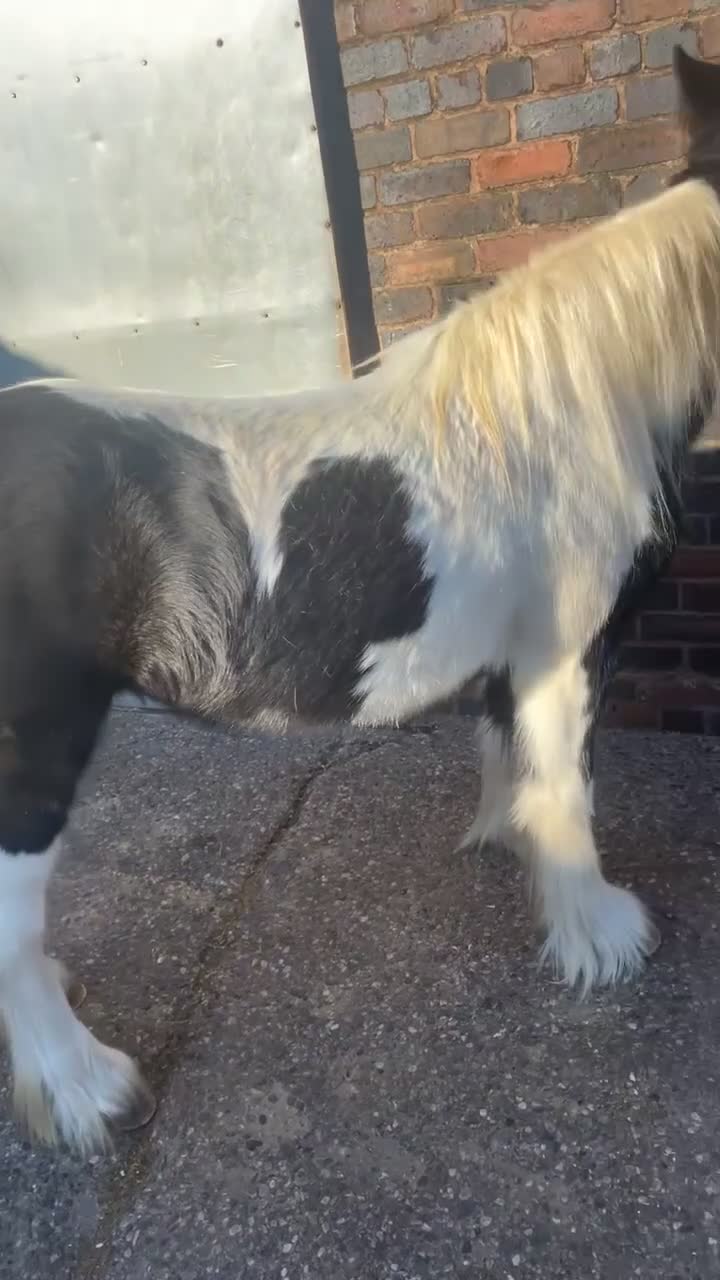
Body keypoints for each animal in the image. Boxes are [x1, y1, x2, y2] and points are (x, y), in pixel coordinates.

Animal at [1, 46, 719, 1155]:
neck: (577, 405)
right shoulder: (565, 653)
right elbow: (567, 788)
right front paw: (599, 937)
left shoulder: (511, 658)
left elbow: (510, 757)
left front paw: (511, 844)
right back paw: (84, 1090)